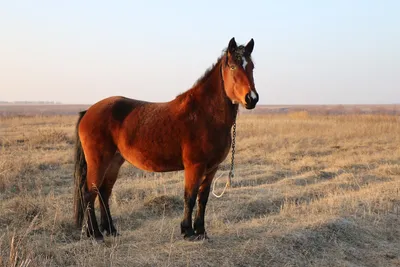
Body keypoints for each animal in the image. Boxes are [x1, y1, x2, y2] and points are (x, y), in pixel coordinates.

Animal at [72, 37, 260, 243]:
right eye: (233, 67)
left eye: (252, 66)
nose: (251, 99)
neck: (204, 114)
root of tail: (88, 111)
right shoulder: (195, 166)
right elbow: (189, 197)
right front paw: (188, 231)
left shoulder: (212, 168)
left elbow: (202, 198)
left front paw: (201, 231)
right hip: (98, 161)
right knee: (89, 193)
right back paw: (95, 234)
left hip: (114, 161)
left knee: (104, 192)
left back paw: (110, 230)